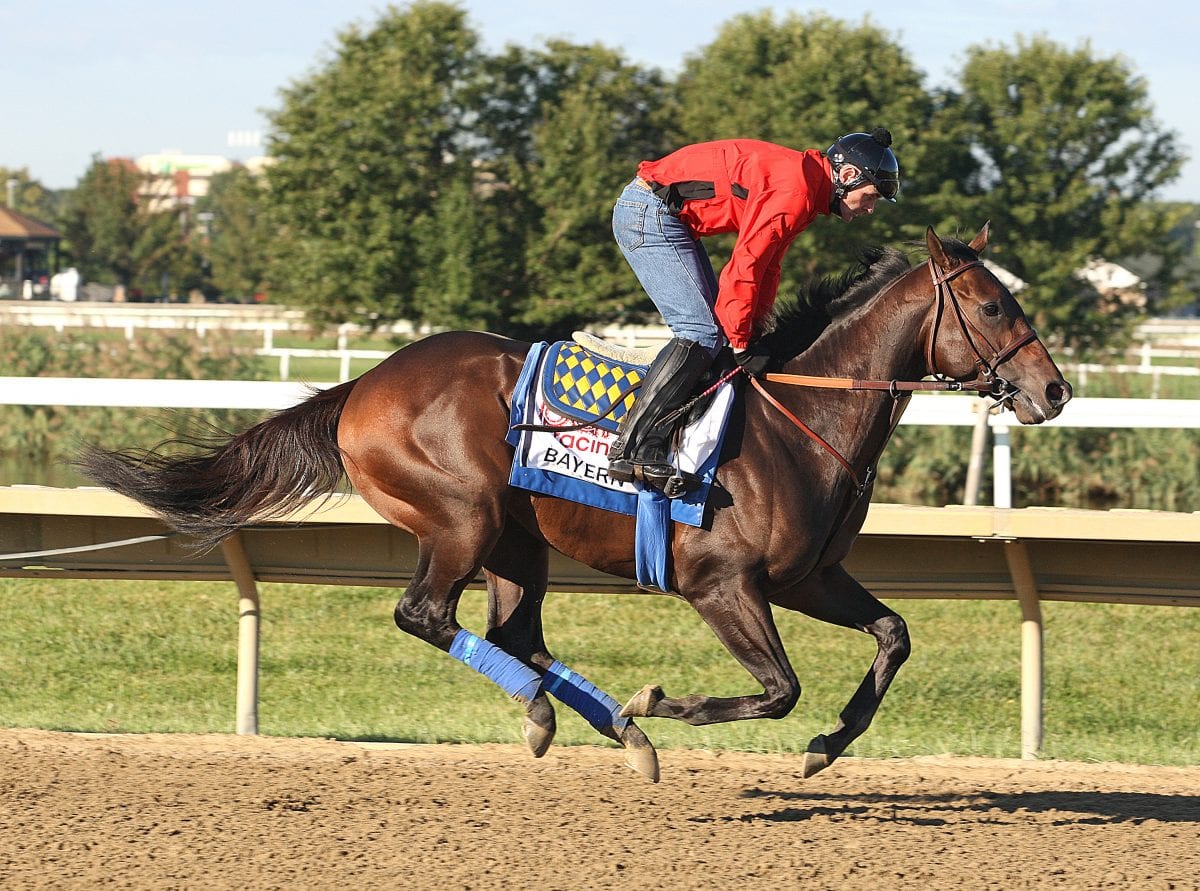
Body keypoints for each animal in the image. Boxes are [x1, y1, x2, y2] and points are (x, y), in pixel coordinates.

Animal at [79, 223, 1070, 782]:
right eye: (990, 305)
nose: (1054, 390)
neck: (801, 420)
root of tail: (363, 384)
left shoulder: (808, 578)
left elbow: (892, 636)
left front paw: (830, 743)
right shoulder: (721, 584)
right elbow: (779, 688)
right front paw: (666, 702)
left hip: (518, 542)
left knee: (514, 632)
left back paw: (603, 727)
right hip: (462, 517)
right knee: (426, 614)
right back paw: (587, 716)